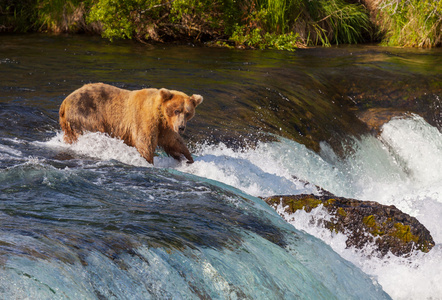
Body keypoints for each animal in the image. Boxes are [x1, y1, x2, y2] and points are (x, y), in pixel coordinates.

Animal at [59, 82, 204, 164]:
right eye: (176, 110)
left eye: (188, 113)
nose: (181, 127)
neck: (160, 114)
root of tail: (64, 103)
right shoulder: (145, 118)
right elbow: (144, 142)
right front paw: (148, 161)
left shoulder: (166, 127)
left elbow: (174, 143)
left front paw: (188, 158)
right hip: (85, 113)